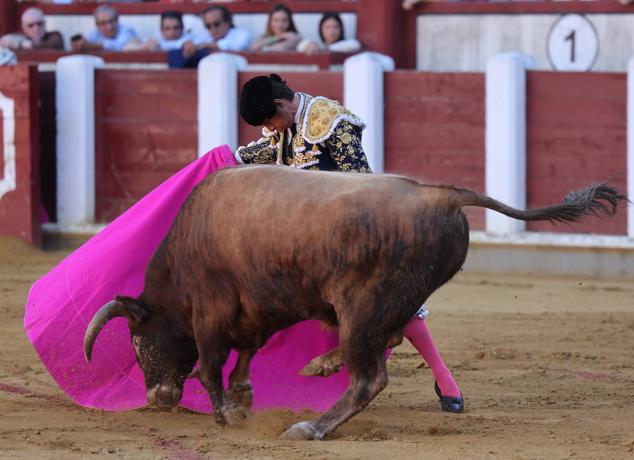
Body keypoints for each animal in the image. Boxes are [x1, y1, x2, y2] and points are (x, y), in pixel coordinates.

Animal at [81, 164, 620, 438]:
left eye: (137, 340)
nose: (158, 398)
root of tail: (444, 196)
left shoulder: (210, 312)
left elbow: (210, 366)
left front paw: (228, 414)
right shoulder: (254, 310)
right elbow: (246, 355)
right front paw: (244, 397)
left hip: (361, 305)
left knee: (371, 375)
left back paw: (313, 427)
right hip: (388, 301)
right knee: (396, 334)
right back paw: (320, 366)